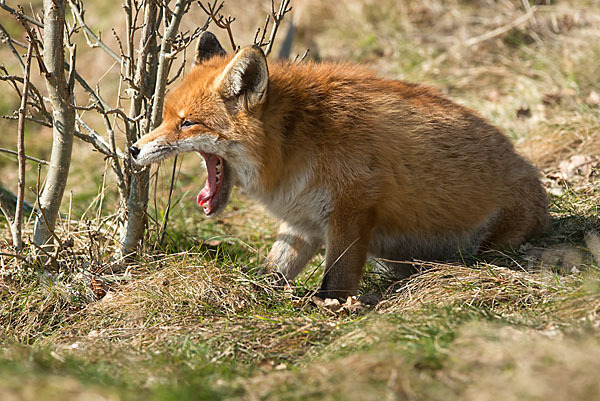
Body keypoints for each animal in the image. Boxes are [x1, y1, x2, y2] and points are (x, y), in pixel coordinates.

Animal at [131, 31, 548, 298]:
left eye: (187, 123)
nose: (133, 149)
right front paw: (253, 295)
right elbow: (272, 271)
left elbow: (335, 279)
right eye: (165, 117)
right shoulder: (302, 221)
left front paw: (325, 309)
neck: (294, 142)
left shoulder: (353, 210)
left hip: (486, 245)